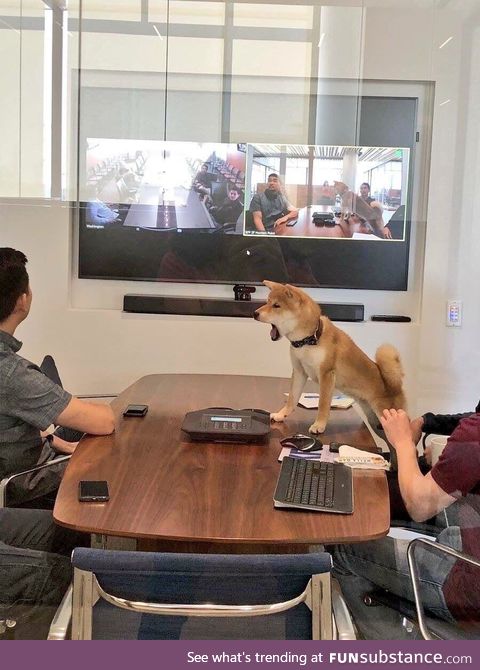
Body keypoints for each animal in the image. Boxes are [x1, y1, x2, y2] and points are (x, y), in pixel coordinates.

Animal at [253, 280, 406, 434]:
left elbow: (323, 403)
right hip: (373, 419)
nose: (254, 313)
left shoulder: (326, 374)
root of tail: (395, 386)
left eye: (276, 305)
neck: (308, 340)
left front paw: (319, 425)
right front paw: (281, 415)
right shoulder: (299, 371)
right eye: (267, 302)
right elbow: (292, 398)